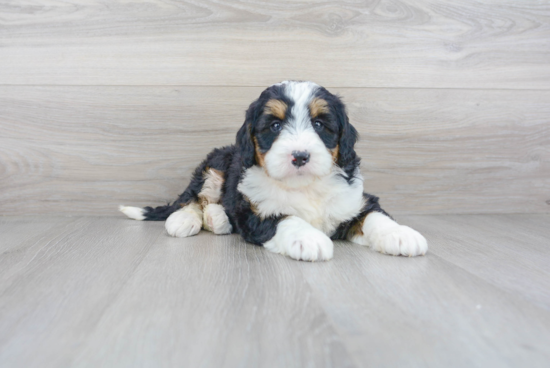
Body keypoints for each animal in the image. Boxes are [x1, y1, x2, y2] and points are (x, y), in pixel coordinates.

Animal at [122, 80, 432, 262]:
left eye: (319, 124)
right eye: (275, 125)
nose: (300, 156)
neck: (304, 185)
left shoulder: (353, 200)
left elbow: (374, 215)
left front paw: (400, 235)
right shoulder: (257, 211)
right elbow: (287, 218)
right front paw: (308, 238)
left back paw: (218, 219)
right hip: (215, 165)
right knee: (193, 198)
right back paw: (185, 219)